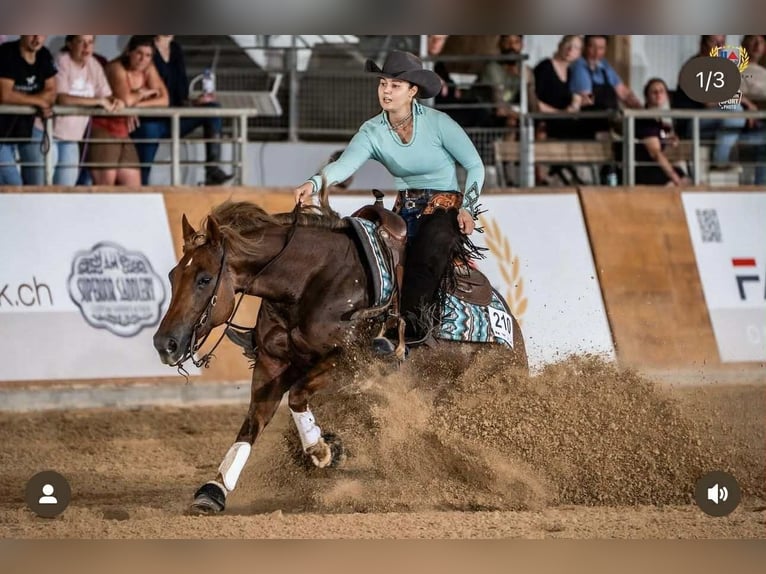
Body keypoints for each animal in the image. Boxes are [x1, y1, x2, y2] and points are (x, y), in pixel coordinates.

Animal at [153, 195, 528, 514]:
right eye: (173, 275)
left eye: (204, 279)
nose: (165, 343)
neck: (310, 280)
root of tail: (512, 329)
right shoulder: (272, 363)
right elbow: (252, 423)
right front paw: (214, 489)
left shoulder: (348, 361)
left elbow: (297, 396)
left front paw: (322, 449)